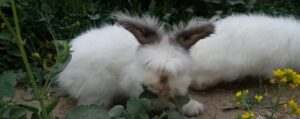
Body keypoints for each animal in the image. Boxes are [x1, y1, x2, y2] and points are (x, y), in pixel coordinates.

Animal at [57, 13, 214, 116]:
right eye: (149, 65)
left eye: (178, 71)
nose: (162, 87)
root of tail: (64, 74)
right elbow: (167, 104)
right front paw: (193, 108)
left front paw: (194, 107)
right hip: (96, 91)